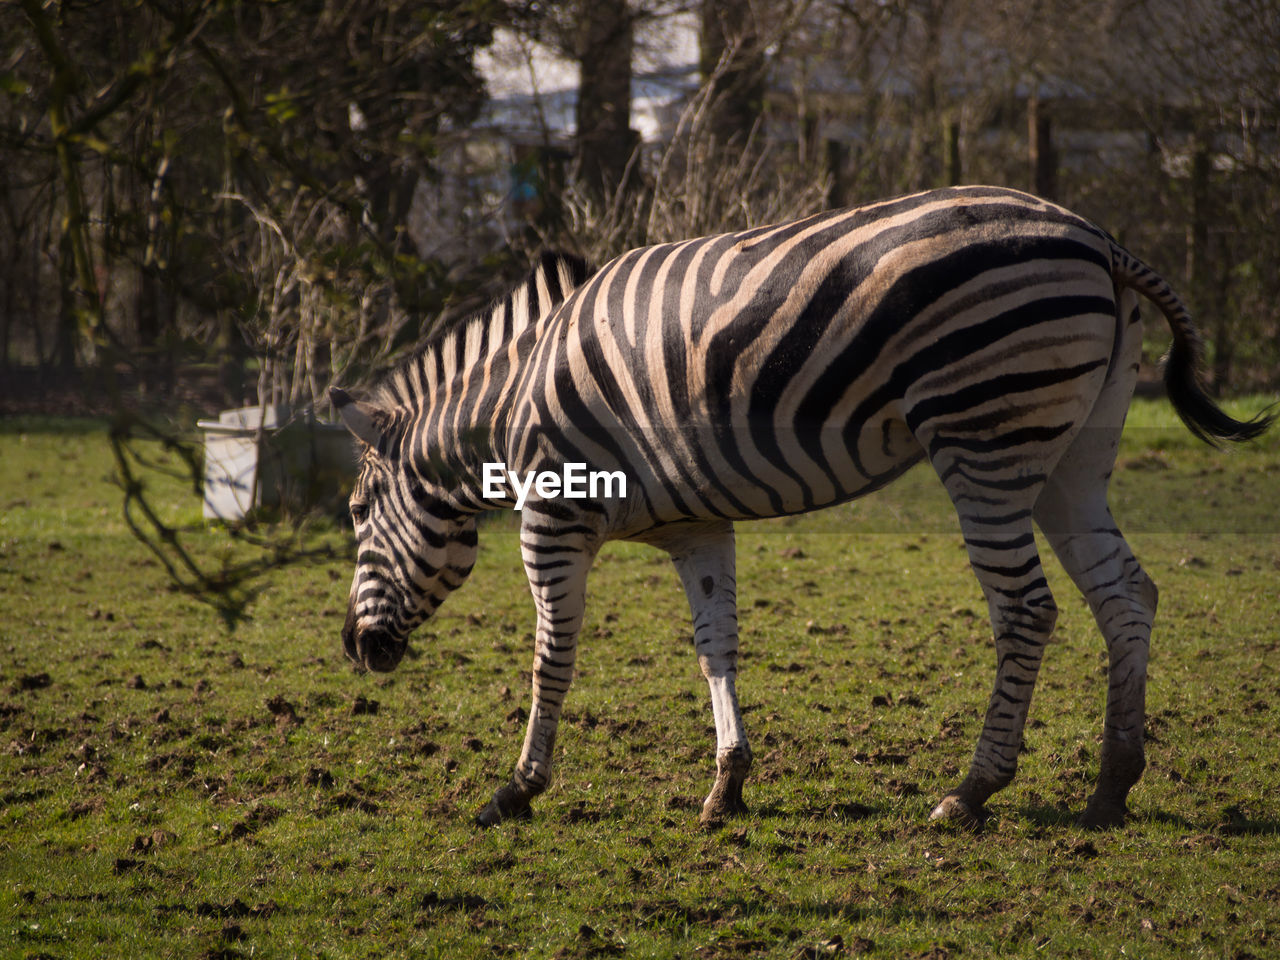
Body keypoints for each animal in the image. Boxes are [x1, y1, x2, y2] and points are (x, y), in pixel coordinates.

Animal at [330, 185, 1269, 829]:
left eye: (355, 511)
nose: (352, 649)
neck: (514, 398)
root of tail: (1095, 235)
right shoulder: (694, 526)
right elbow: (715, 649)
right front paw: (727, 784)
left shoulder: (553, 521)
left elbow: (549, 656)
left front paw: (517, 789)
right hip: (1072, 455)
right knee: (1126, 594)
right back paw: (1112, 786)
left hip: (985, 439)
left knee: (1028, 611)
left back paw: (972, 791)